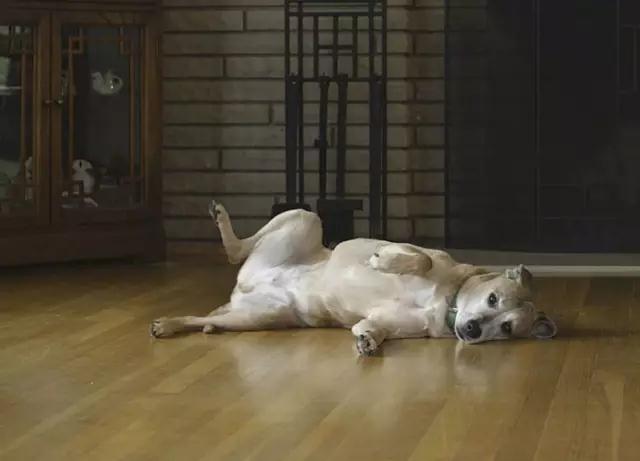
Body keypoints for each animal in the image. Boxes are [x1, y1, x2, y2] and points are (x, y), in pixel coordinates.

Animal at [150, 200, 557, 354]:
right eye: (492, 299)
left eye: (506, 328)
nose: (472, 330)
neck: (449, 303)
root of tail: (245, 286)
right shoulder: (417, 251)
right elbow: (420, 259)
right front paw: (384, 262)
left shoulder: (385, 321)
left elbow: (372, 327)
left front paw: (367, 340)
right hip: (304, 217)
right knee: (237, 250)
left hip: (259, 316)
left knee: (208, 316)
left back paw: (180, 324)